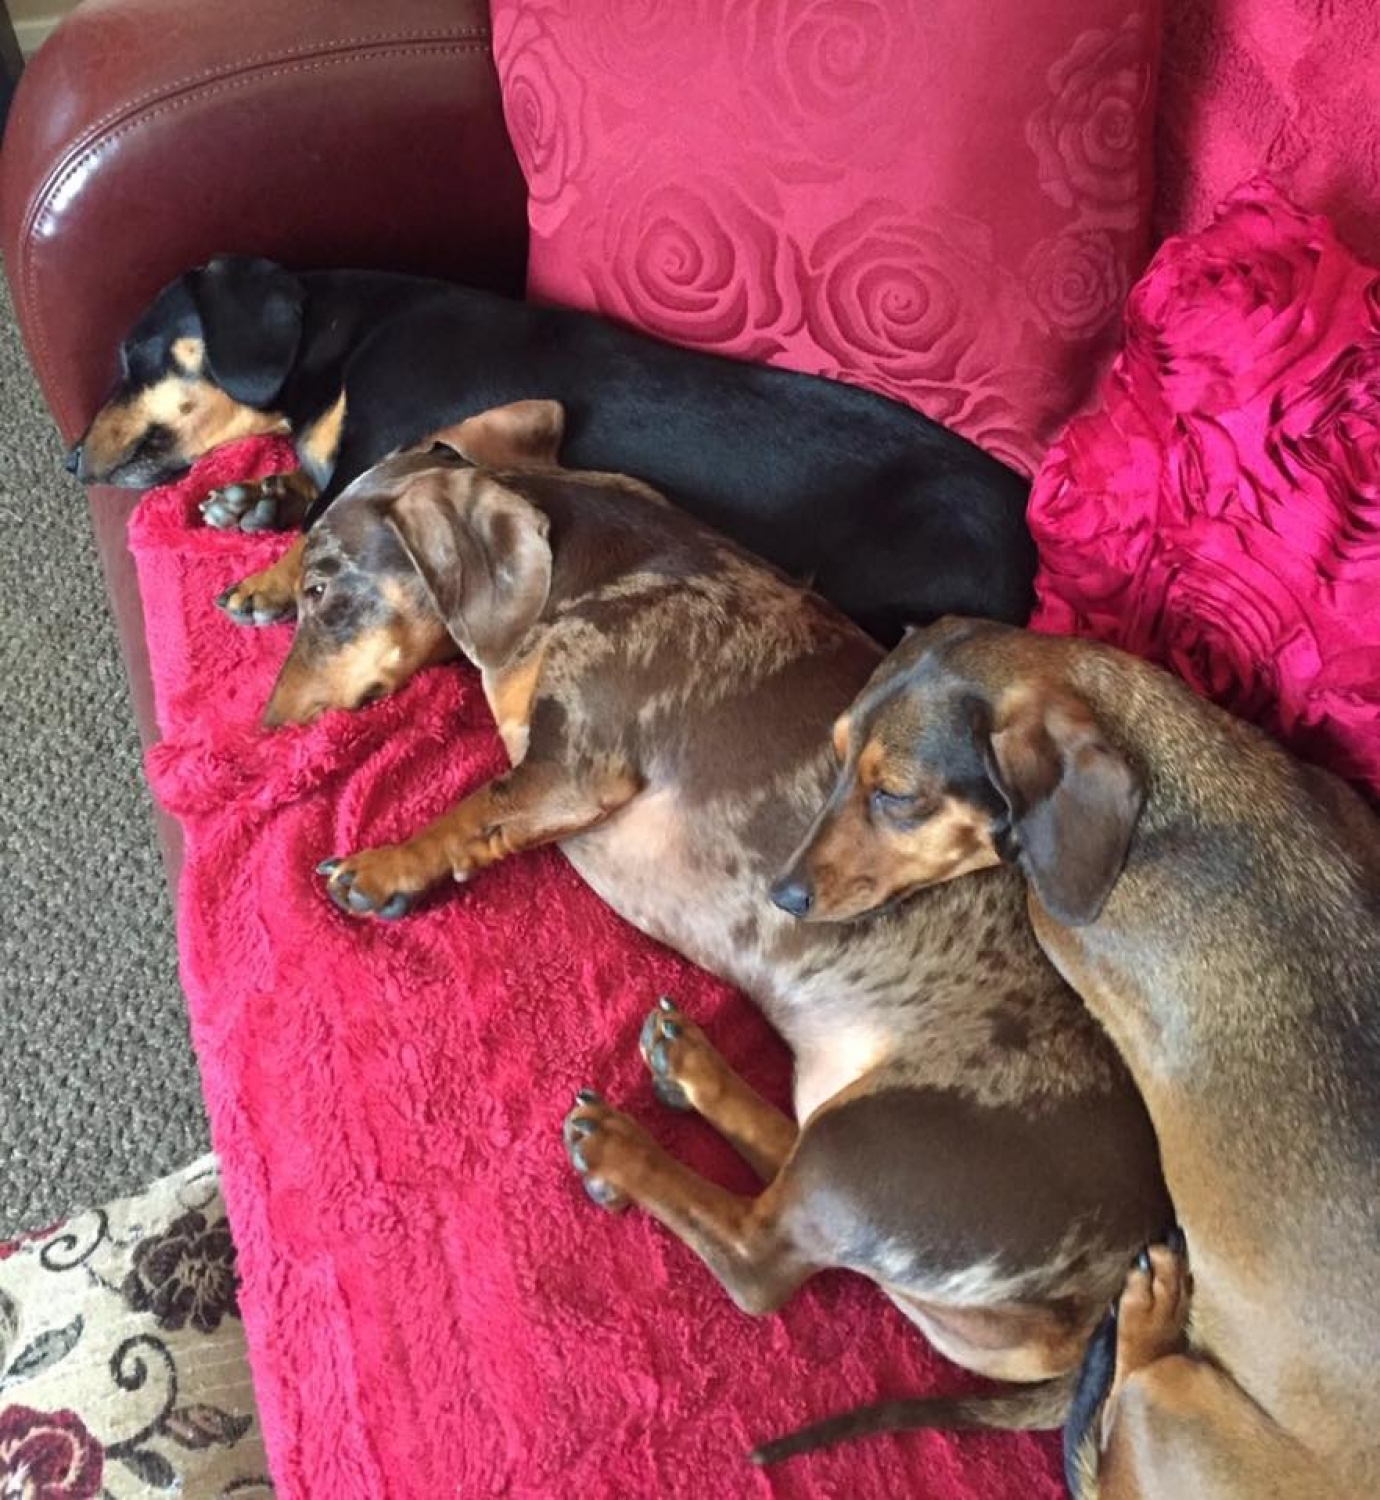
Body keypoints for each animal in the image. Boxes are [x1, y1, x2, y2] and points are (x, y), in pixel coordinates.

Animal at [67, 254, 1034, 646]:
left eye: (132, 352)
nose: (71, 461)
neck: (339, 341)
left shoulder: (402, 438)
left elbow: (339, 503)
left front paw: (272, 575)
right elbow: (315, 485)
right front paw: (257, 501)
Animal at [264, 398, 1170, 1459]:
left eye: (321, 589)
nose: (269, 724)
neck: (575, 570)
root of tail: (1107, 1302)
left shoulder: (574, 769)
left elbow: (471, 808)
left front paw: (382, 869)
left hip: (877, 1147)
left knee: (757, 1255)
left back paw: (625, 1150)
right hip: (842, 1115)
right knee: (781, 1163)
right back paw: (692, 1068)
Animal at [778, 617, 1380, 1496]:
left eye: (898, 797)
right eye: (837, 755)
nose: (781, 894)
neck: (1174, 794)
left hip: (1177, 1401)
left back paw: (1152, 1311)